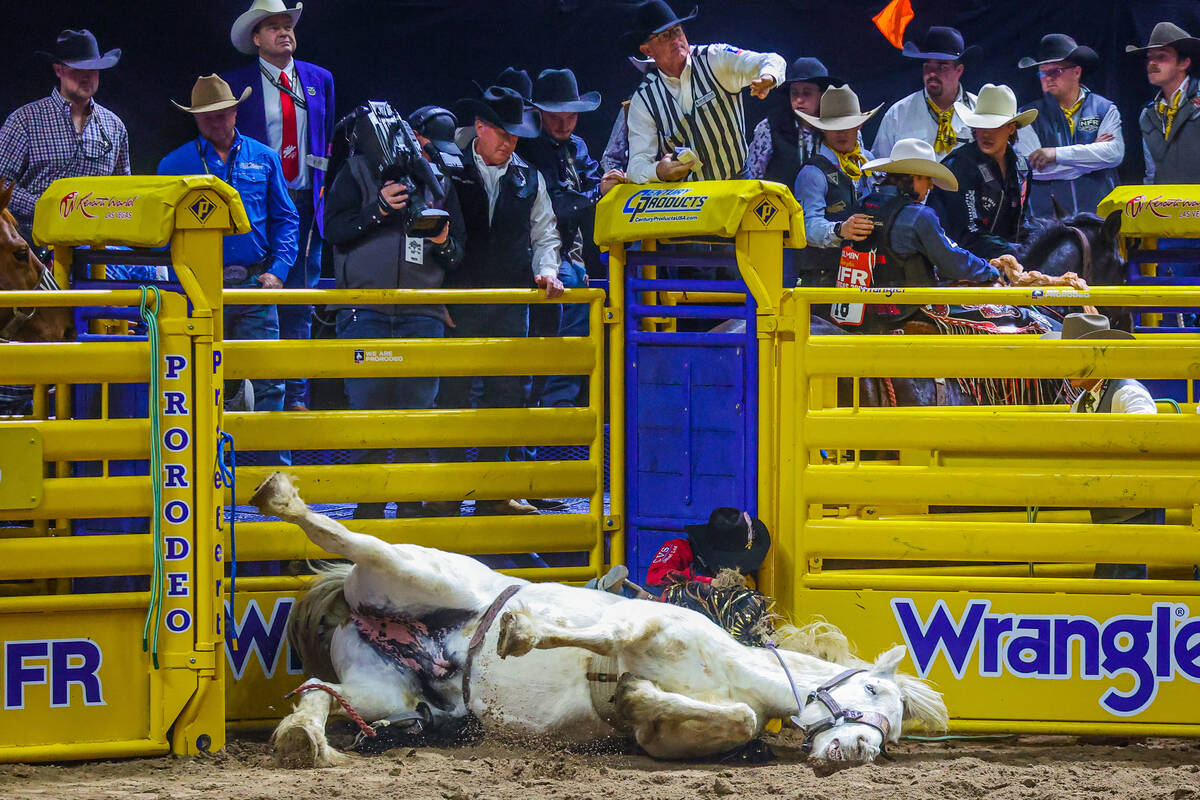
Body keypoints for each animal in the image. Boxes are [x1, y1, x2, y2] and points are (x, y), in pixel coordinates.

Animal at [250, 472, 945, 772]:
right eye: (873, 689)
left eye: (893, 733)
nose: (859, 753)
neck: (737, 668)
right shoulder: (648, 628)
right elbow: (608, 636)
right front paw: (524, 633)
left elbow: (732, 721)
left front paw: (640, 701)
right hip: (419, 573)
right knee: (347, 538)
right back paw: (280, 496)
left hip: (387, 692)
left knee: (322, 694)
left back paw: (300, 739)